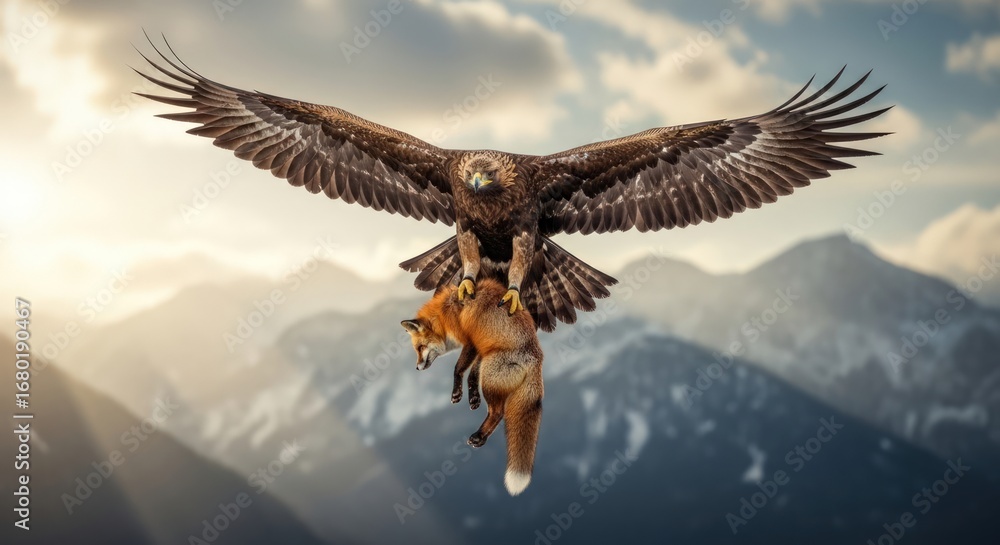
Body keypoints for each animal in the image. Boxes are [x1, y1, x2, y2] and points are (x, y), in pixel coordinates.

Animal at [401, 277, 544, 496]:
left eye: (419, 348)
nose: (417, 368)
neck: (446, 313)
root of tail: (537, 359)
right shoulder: (480, 346)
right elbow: (472, 373)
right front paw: (471, 396)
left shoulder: (470, 340)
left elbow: (458, 368)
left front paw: (456, 392)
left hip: (490, 378)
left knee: (498, 413)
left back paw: (479, 436)